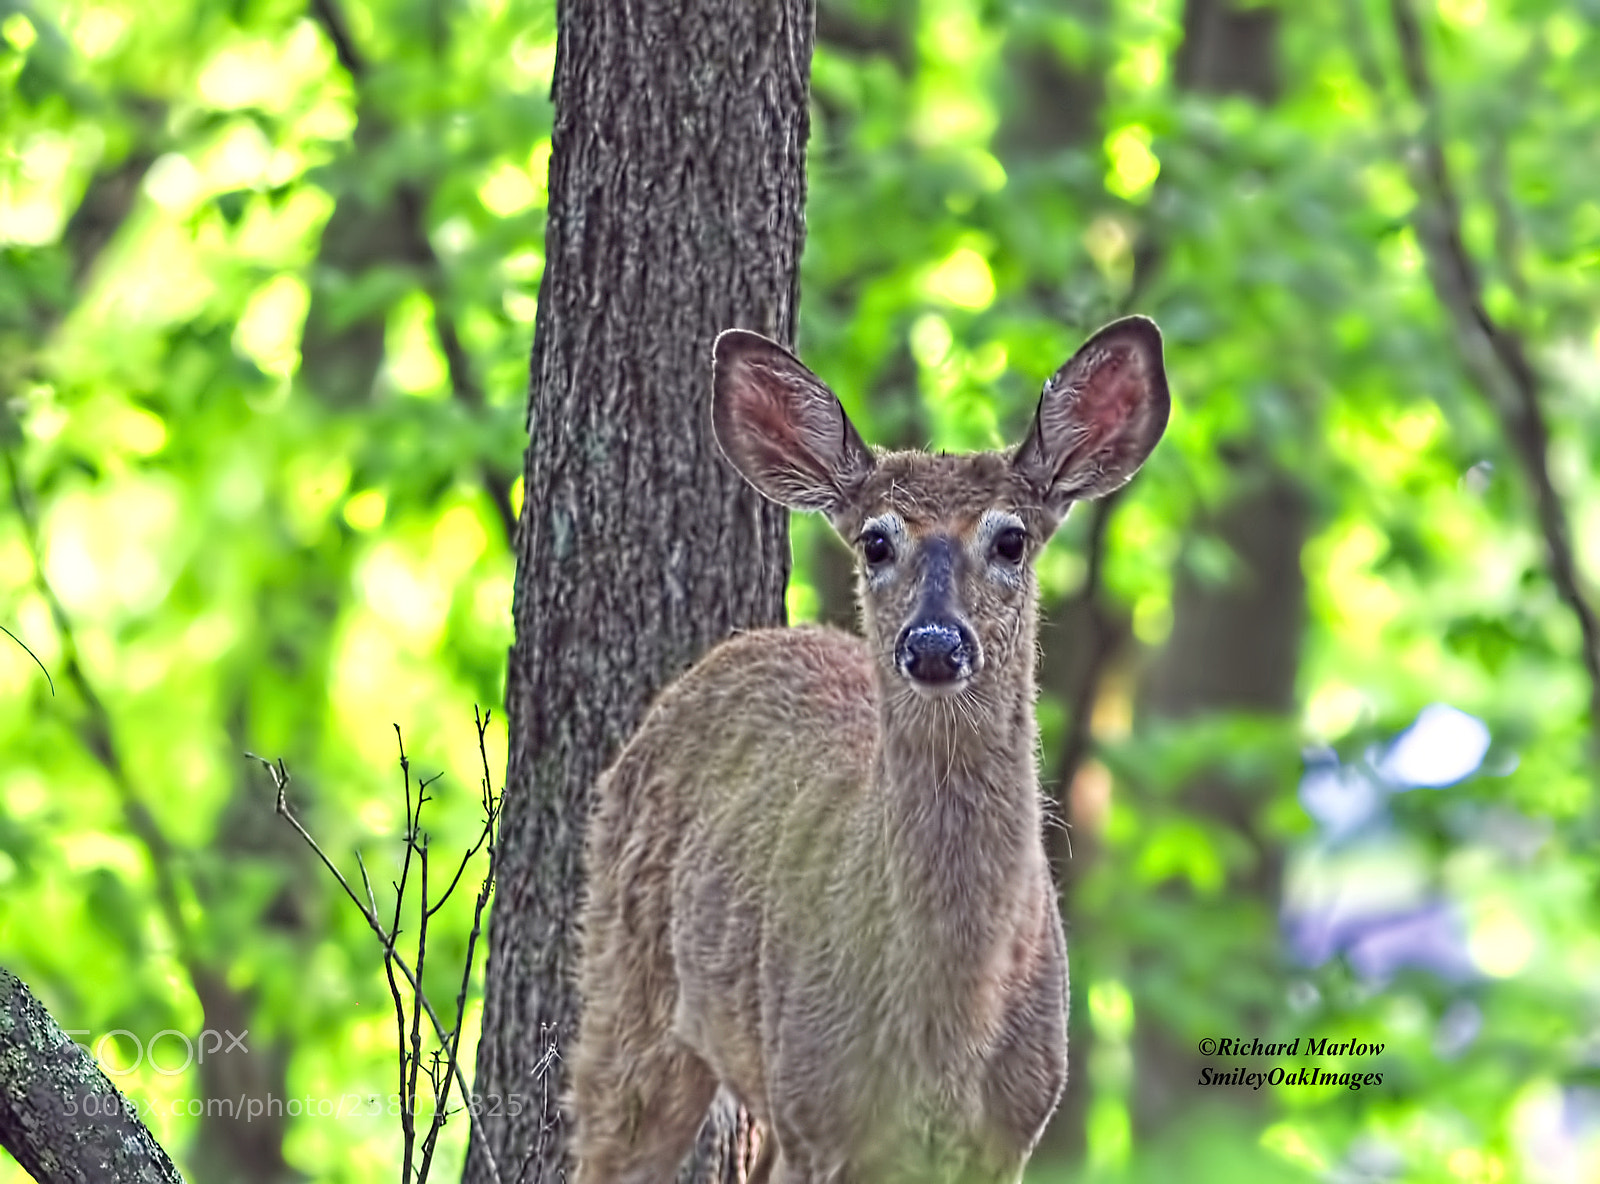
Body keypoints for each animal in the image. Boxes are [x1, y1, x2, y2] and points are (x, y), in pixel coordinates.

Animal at [570, 316, 1170, 1184]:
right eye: (875, 542)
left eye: (1013, 540)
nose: (934, 643)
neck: (945, 1036)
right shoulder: (819, 1113)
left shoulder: (1012, 1130)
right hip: (633, 990)